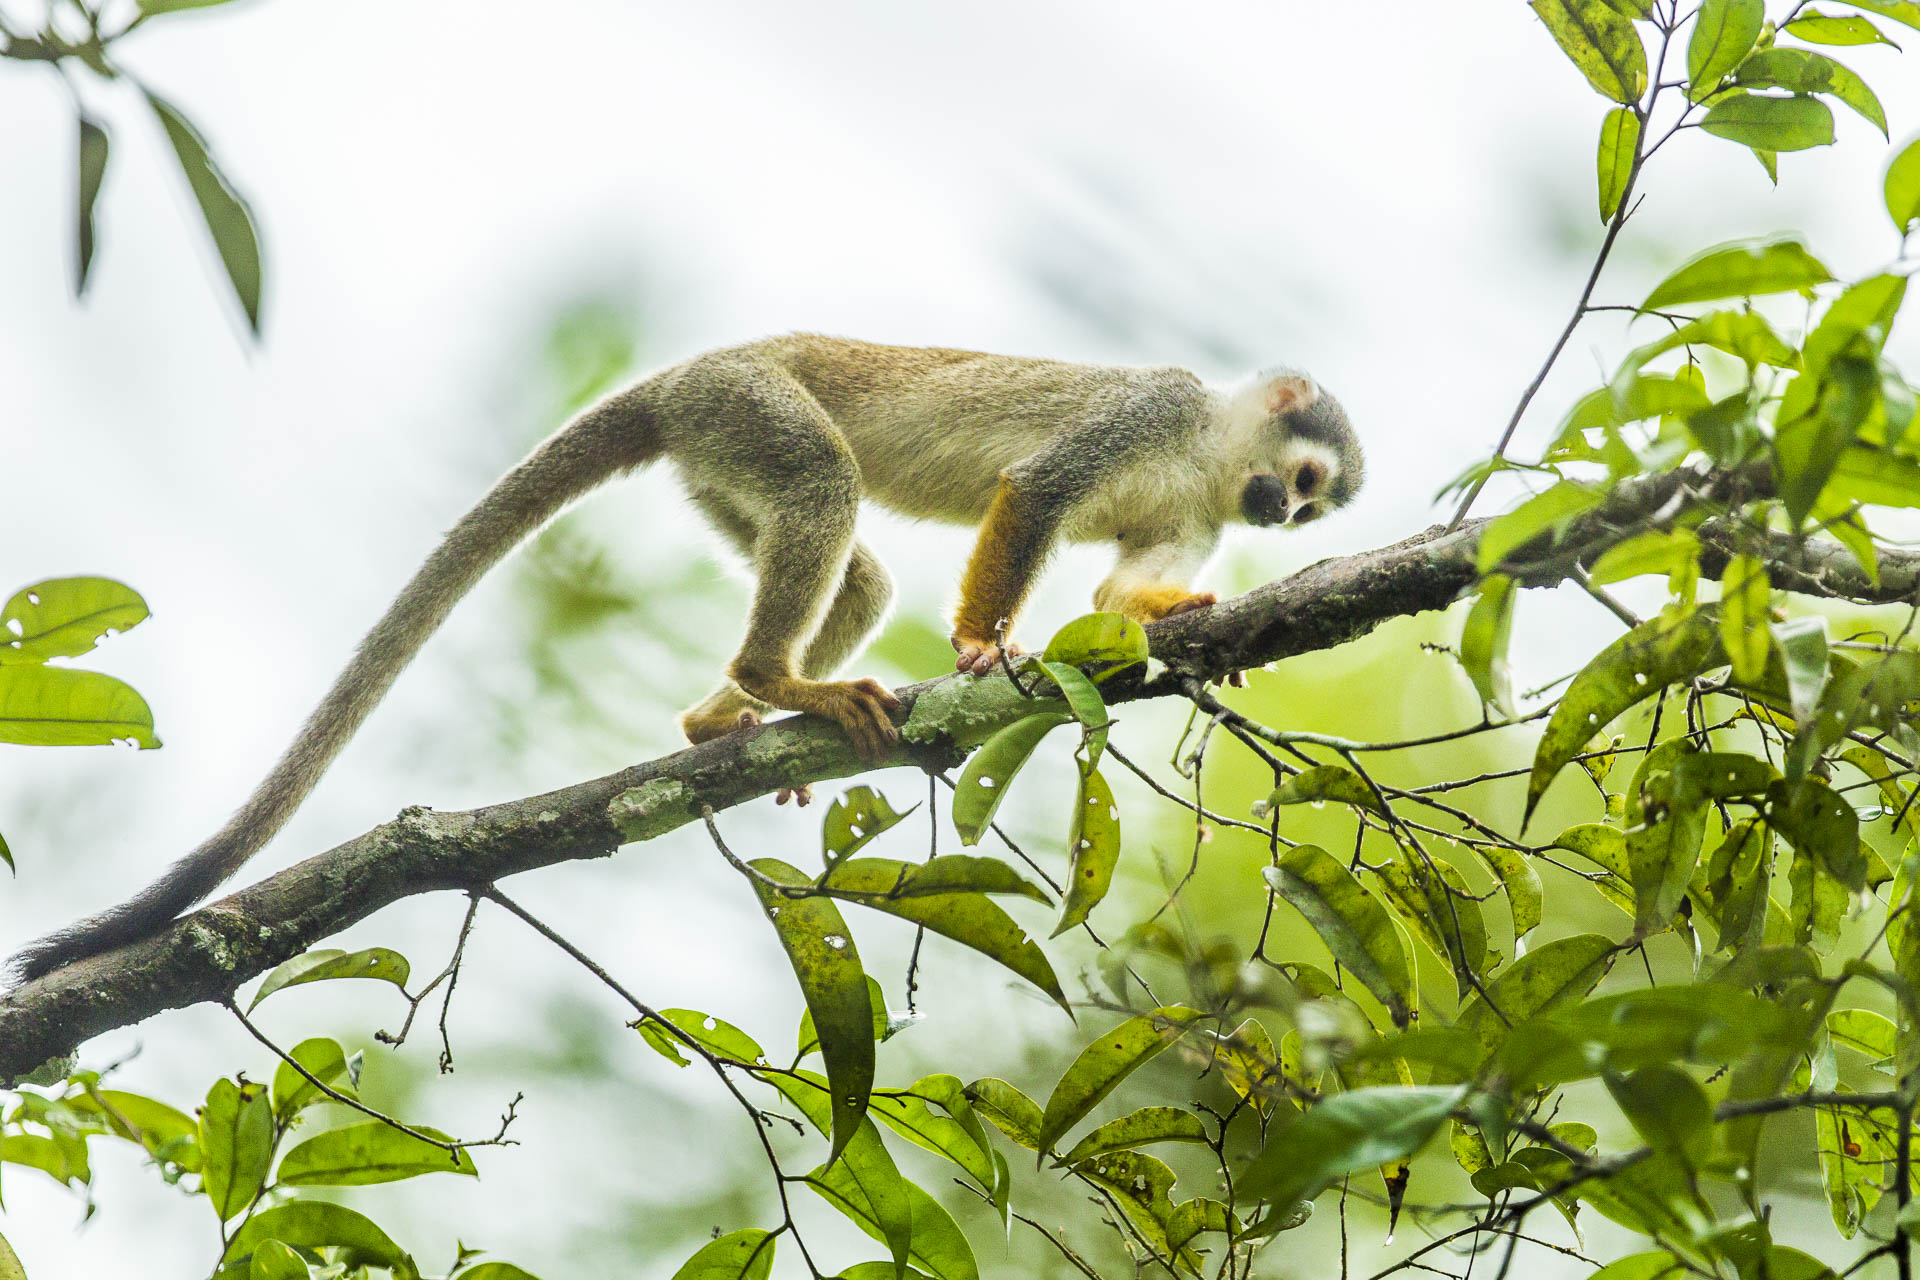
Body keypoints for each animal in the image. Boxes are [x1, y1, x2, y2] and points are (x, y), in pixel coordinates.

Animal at [15, 333, 1367, 982]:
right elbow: (1034, 492)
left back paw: (721, 718)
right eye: (1303, 481)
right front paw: (985, 641)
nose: (1285, 517)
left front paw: (1180, 613)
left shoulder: (1198, 503)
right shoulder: (1152, 410)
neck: (1208, 453)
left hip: (718, 459)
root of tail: (680, 377)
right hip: (747, 405)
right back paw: (772, 685)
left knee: (851, 568)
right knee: (820, 478)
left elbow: (1117, 588)